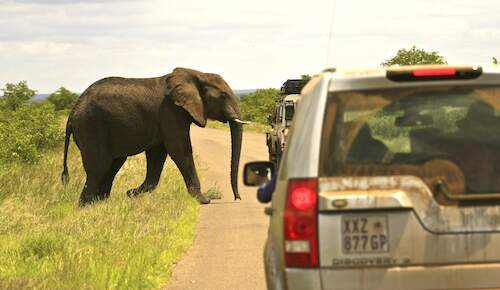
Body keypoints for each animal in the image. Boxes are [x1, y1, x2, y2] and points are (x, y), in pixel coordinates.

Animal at [59, 68, 247, 206]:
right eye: (223, 96)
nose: (237, 198)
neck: (197, 74)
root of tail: (72, 113)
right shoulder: (170, 112)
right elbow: (180, 149)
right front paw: (204, 200)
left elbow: (158, 153)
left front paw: (131, 193)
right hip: (91, 127)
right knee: (98, 168)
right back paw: (85, 207)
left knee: (111, 166)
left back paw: (100, 203)